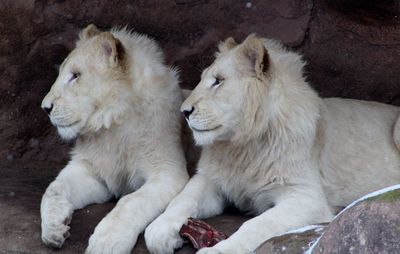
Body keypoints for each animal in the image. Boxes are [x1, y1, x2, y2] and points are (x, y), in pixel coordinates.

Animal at [39, 24, 188, 254]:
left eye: (75, 75)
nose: (45, 108)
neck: (111, 127)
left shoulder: (168, 171)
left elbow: (130, 201)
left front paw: (105, 242)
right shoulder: (90, 171)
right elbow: (53, 189)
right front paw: (54, 228)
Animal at [145, 34, 400, 254]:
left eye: (218, 81)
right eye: (202, 80)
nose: (184, 112)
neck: (241, 146)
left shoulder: (306, 197)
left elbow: (257, 225)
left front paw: (218, 250)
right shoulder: (211, 179)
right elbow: (183, 199)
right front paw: (158, 232)